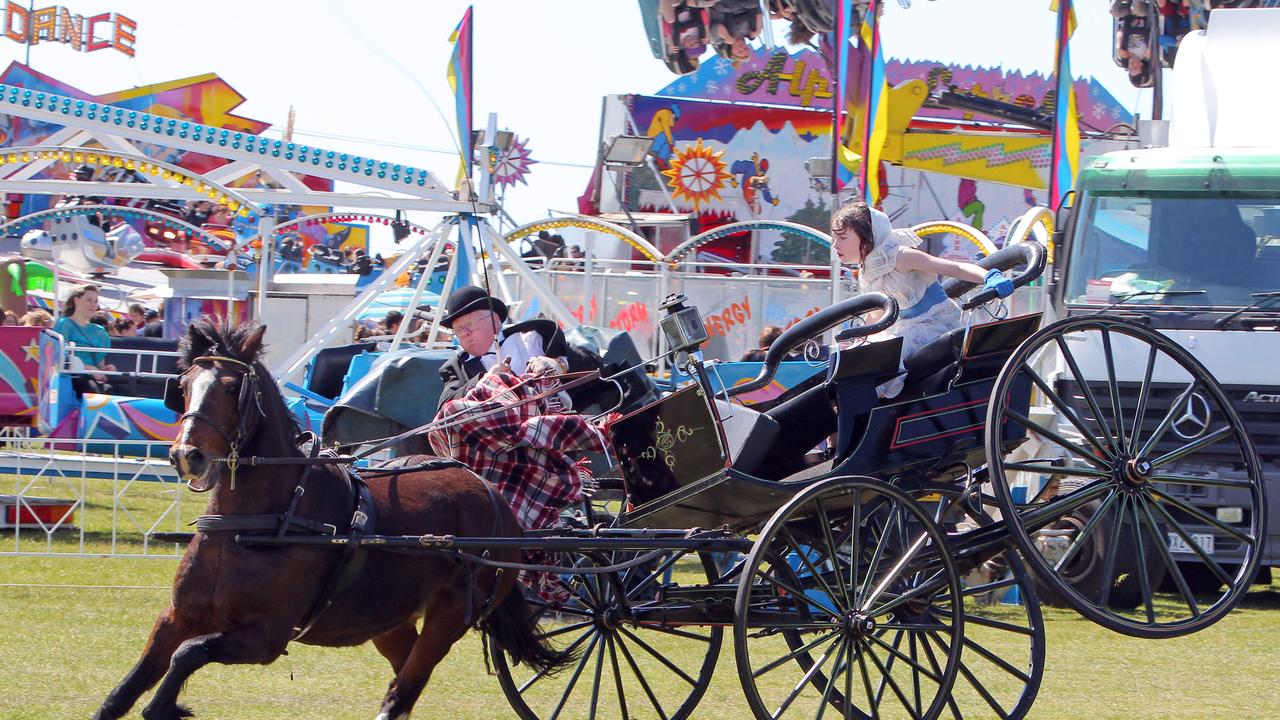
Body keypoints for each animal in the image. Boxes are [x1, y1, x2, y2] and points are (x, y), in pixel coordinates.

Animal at [92, 320, 563, 717]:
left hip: (450, 616)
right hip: (388, 619)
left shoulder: (266, 636)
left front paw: (166, 706)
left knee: (404, 689)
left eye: (230, 387)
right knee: (405, 678)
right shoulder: (176, 617)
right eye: (185, 386)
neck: (259, 521)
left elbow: (187, 654)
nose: (186, 455)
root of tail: (495, 497)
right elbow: (126, 689)